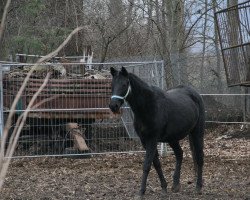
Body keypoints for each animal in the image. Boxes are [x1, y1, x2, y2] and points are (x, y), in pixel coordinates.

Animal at [109, 66, 205, 196]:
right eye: (112, 84)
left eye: (124, 84)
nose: (113, 106)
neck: (148, 107)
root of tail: (194, 93)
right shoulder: (144, 140)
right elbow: (156, 163)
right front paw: (164, 187)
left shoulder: (152, 139)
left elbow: (147, 165)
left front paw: (141, 192)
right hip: (172, 138)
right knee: (179, 154)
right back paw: (176, 185)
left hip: (197, 132)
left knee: (199, 156)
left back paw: (198, 187)